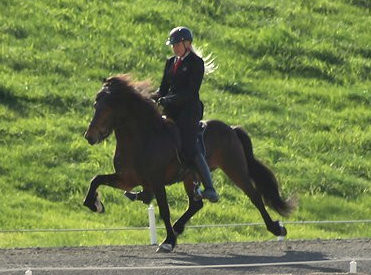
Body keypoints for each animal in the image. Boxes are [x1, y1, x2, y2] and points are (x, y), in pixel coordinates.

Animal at [83, 74, 296, 253]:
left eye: (108, 108)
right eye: (95, 104)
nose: (89, 136)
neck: (142, 138)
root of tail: (231, 129)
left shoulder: (156, 181)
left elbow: (164, 210)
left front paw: (168, 242)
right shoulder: (127, 179)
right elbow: (96, 179)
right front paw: (95, 204)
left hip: (234, 168)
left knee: (255, 197)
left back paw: (277, 229)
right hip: (190, 176)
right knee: (196, 204)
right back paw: (178, 227)